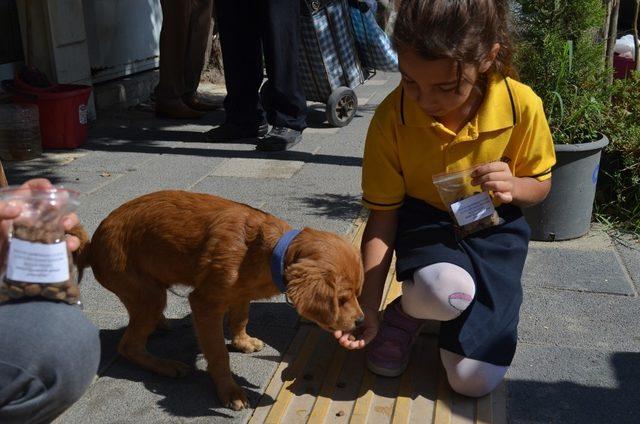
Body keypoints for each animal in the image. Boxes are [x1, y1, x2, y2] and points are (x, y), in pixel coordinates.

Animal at [76, 190, 360, 410]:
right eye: (342, 298)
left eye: (357, 293)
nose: (361, 321)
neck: (268, 253)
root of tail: (92, 246)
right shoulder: (205, 303)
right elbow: (218, 352)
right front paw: (229, 391)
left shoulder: (241, 293)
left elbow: (240, 318)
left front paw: (243, 342)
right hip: (147, 295)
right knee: (129, 346)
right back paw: (166, 366)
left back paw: (161, 324)